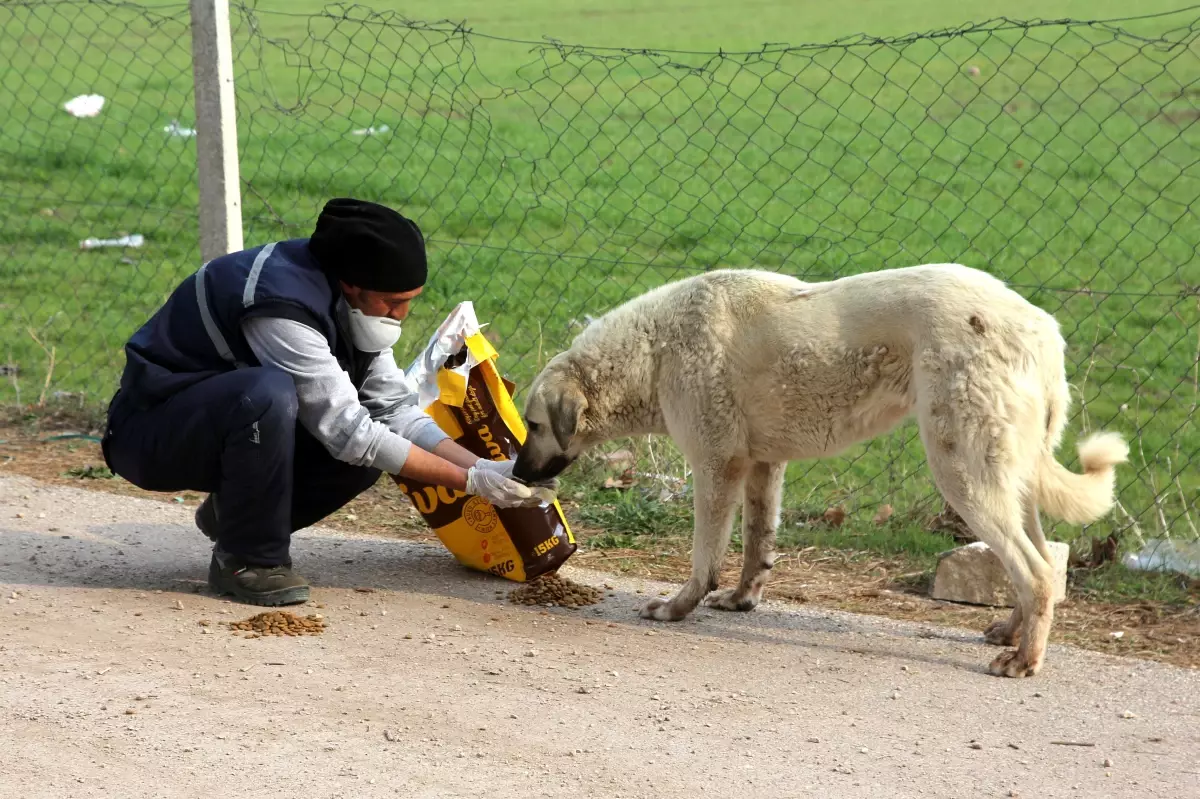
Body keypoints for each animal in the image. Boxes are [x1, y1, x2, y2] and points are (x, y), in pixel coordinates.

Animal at [511, 263, 1128, 676]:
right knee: (1042, 562)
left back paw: (1024, 660)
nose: (517, 471)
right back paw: (1011, 632)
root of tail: (1042, 331)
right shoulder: (762, 467)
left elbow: (705, 557)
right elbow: (757, 544)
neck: (653, 351)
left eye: (535, 425)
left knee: (1036, 571)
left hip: (964, 474)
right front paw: (742, 600)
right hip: (1007, 480)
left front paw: (679, 607)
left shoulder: (717, 468)